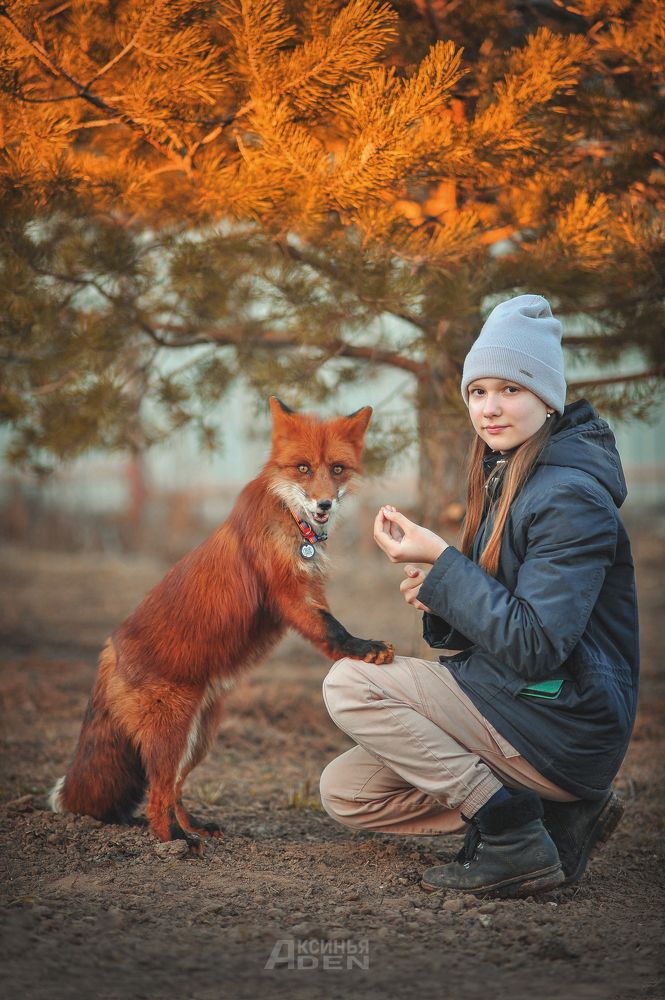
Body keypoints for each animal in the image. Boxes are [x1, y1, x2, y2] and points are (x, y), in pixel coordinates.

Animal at [49, 396, 394, 852]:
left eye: (336, 469)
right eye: (303, 468)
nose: (324, 506)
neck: (291, 517)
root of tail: (109, 649)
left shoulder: (308, 590)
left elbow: (330, 622)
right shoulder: (288, 594)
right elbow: (331, 630)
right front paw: (363, 647)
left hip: (199, 737)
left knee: (174, 791)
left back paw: (191, 827)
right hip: (173, 734)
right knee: (157, 796)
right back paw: (175, 842)